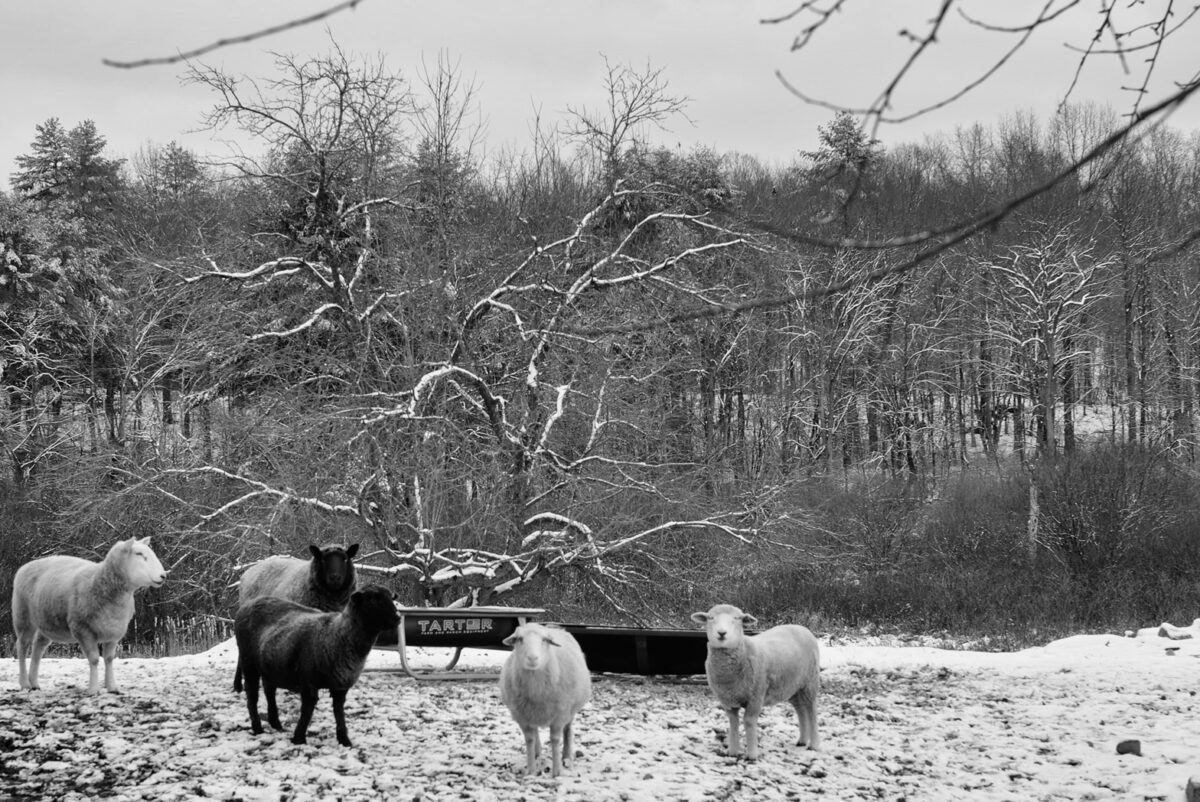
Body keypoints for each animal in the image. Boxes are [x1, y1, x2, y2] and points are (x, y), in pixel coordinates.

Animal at [11, 537, 168, 696]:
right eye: (139, 554)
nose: (163, 575)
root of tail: (26, 566)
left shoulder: (114, 631)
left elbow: (109, 659)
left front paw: (112, 687)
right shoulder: (83, 629)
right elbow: (94, 659)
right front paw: (93, 689)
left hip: (46, 621)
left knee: (38, 647)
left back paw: (34, 683)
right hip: (23, 616)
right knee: (22, 646)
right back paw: (25, 683)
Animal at [235, 583, 403, 744]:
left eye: (391, 597)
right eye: (373, 600)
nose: (398, 618)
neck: (337, 635)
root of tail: (248, 604)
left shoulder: (341, 686)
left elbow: (339, 712)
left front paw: (344, 739)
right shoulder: (308, 682)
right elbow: (307, 711)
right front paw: (299, 738)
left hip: (270, 666)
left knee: (269, 692)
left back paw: (275, 723)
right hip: (249, 662)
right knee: (252, 697)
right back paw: (257, 728)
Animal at [496, 619, 590, 777]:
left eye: (545, 640)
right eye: (519, 639)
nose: (533, 658)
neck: (535, 690)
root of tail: (555, 627)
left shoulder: (559, 716)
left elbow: (555, 740)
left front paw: (556, 772)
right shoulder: (522, 717)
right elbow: (529, 739)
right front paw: (531, 771)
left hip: (570, 711)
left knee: (568, 730)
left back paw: (566, 757)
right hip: (531, 713)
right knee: (536, 734)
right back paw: (537, 754)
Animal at [691, 605, 820, 763]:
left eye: (737, 618)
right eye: (711, 618)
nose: (721, 633)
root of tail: (801, 627)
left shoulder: (755, 696)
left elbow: (749, 721)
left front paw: (752, 754)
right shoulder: (727, 700)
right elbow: (733, 723)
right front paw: (733, 752)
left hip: (810, 682)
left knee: (811, 710)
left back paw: (814, 745)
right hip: (792, 687)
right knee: (801, 710)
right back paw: (802, 740)